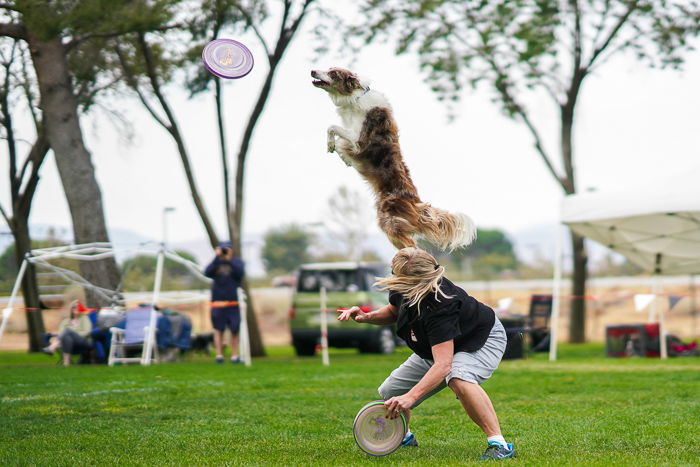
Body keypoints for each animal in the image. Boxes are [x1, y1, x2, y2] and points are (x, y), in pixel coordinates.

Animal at [312, 66, 476, 252]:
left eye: (333, 73)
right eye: (328, 69)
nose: (312, 71)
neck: (355, 97)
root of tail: (416, 203)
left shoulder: (359, 139)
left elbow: (333, 128)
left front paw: (332, 146)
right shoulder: (352, 138)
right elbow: (339, 141)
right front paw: (341, 155)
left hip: (388, 221)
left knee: (411, 244)